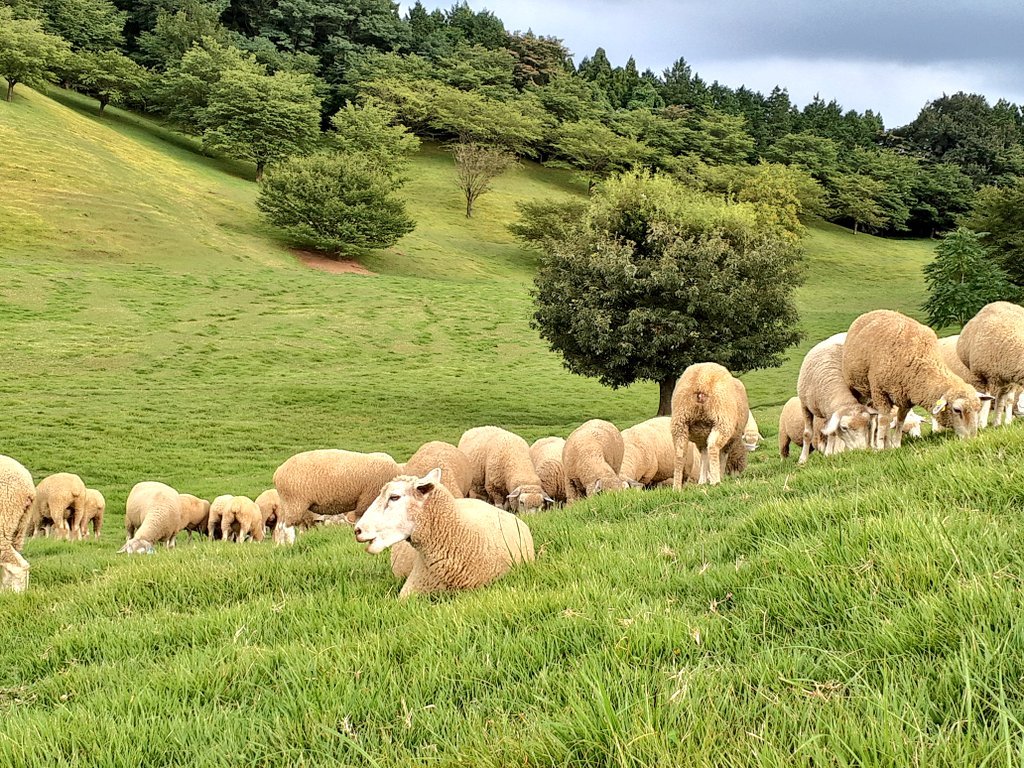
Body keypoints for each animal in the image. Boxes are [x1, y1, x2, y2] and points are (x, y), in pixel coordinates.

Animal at [796, 333, 880, 461]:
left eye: (866, 425)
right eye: (844, 427)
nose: (862, 451)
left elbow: (832, 433)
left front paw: (829, 454)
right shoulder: (805, 405)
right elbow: (808, 434)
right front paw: (802, 460)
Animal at [843, 309, 989, 448]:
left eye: (978, 408)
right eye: (957, 410)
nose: (971, 439)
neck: (920, 357)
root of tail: (872, 312)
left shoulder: (905, 399)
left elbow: (900, 420)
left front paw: (895, 444)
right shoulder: (880, 392)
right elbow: (884, 420)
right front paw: (880, 447)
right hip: (858, 387)